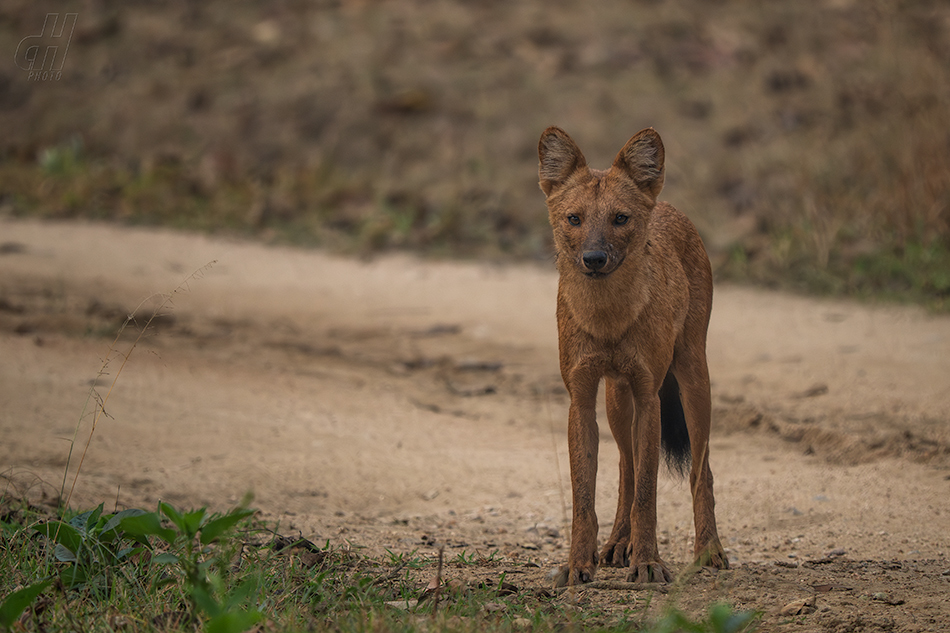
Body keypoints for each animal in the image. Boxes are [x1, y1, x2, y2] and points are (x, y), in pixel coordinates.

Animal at [544, 126, 728, 584]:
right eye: (574, 219)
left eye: (620, 218)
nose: (594, 258)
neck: (608, 318)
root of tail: (666, 204)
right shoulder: (581, 397)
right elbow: (586, 495)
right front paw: (578, 565)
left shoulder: (649, 395)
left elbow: (649, 490)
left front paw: (647, 562)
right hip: (615, 398)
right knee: (626, 467)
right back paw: (616, 544)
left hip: (693, 378)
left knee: (701, 469)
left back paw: (709, 550)